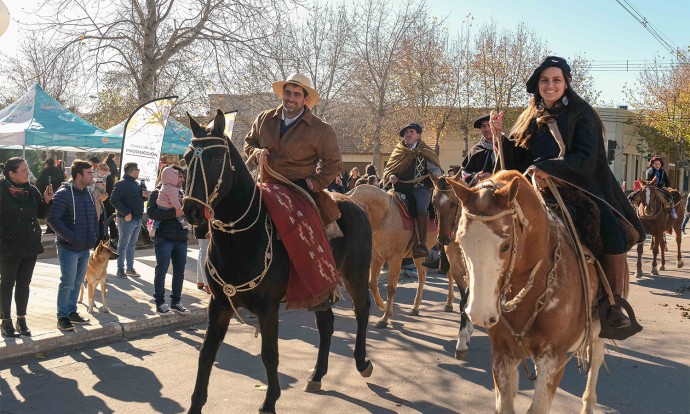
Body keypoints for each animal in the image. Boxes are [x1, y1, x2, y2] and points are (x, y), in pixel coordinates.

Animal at [183, 110, 374, 414]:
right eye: (186, 159)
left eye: (214, 160)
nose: (191, 210)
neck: (241, 239)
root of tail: (354, 202)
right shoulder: (220, 305)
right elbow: (207, 353)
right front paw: (195, 404)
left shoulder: (268, 307)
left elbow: (270, 354)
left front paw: (269, 401)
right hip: (320, 285)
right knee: (326, 323)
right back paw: (317, 375)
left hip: (355, 272)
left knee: (361, 311)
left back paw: (361, 362)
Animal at [346, 186, 448, 328]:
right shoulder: (376, 258)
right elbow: (372, 283)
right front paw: (383, 306)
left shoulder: (395, 259)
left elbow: (391, 288)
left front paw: (385, 317)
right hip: (420, 256)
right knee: (422, 276)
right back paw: (416, 307)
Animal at [446, 171, 600, 414]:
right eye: (461, 241)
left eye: (506, 246)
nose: (479, 314)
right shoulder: (502, 353)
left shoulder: (553, 359)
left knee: (597, 360)